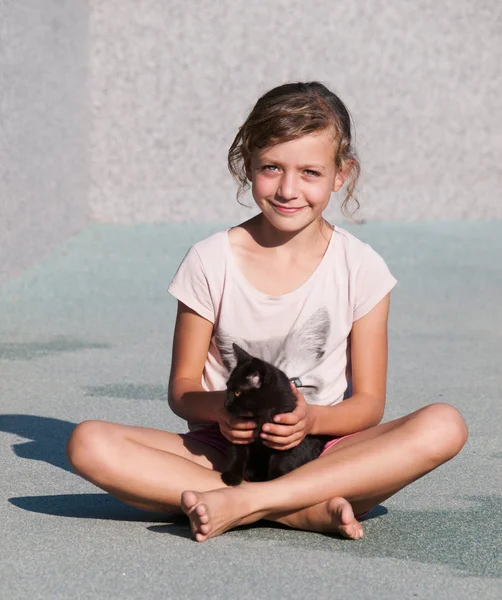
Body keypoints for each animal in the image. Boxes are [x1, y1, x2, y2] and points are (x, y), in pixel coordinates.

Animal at [221, 344, 330, 486]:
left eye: (238, 392)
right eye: (227, 387)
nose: (225, 403)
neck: (261, 416)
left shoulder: (287, 437)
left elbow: (281, 460)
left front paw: (276, 479)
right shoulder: (237, 433)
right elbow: (237, 453)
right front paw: (232, 475)